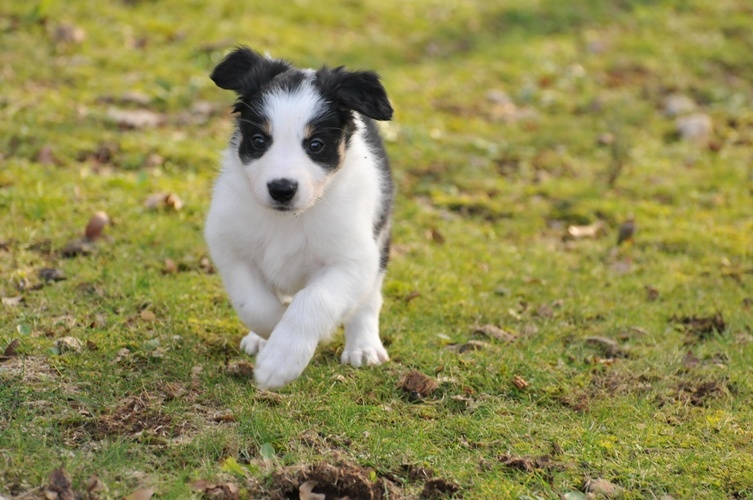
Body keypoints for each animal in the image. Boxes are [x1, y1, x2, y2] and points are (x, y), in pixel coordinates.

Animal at [206, 47, 394, 390]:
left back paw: (363, 347)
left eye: (315, 145)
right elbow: (253, 302)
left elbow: (314, 300)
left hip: (380, 238)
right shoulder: (230, 246)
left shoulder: (351, 261)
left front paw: (281, 360)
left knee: (369, 300)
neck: (290, 218)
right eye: (259, 141)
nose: (282, 189)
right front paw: (272, 335)